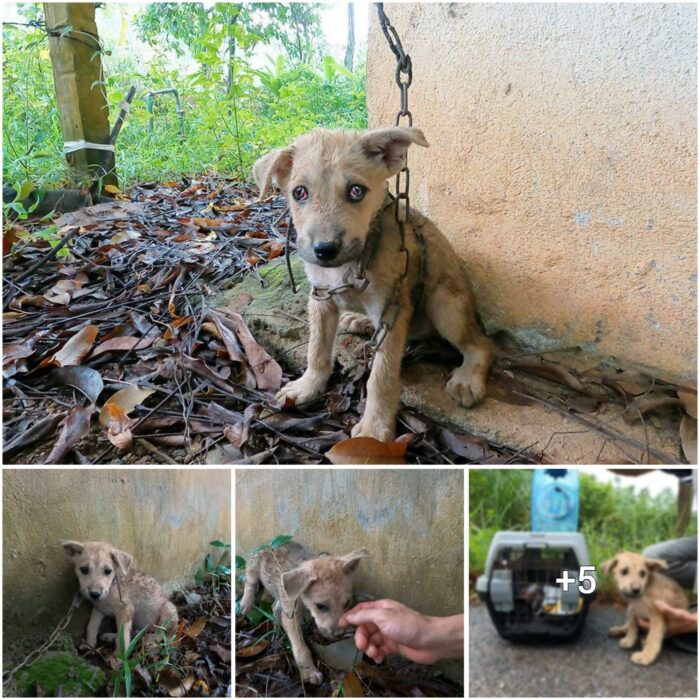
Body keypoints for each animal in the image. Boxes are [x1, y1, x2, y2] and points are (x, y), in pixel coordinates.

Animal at [239, 540, 370, 684]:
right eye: (321, 606)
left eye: (347, 603)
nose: (339, 634)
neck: (300, 595)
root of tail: (269, 545)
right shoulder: (292, 615)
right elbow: (300, 647)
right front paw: (309, 671)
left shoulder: (288, 605)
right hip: (254, 563)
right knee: (249, 581)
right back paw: (245, 603)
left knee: (275, 607)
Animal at [253, 129, 492, 440]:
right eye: (299, 193)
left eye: (356, 191)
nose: (325, 250)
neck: (350, 266)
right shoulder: (320, 298)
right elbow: (317, 350)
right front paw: (307, 386)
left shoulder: (392, 311)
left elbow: (381, 376)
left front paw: (373, 429)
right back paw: (360, 321)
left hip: (445, 304)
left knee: (482, 344)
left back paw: (467, 378)